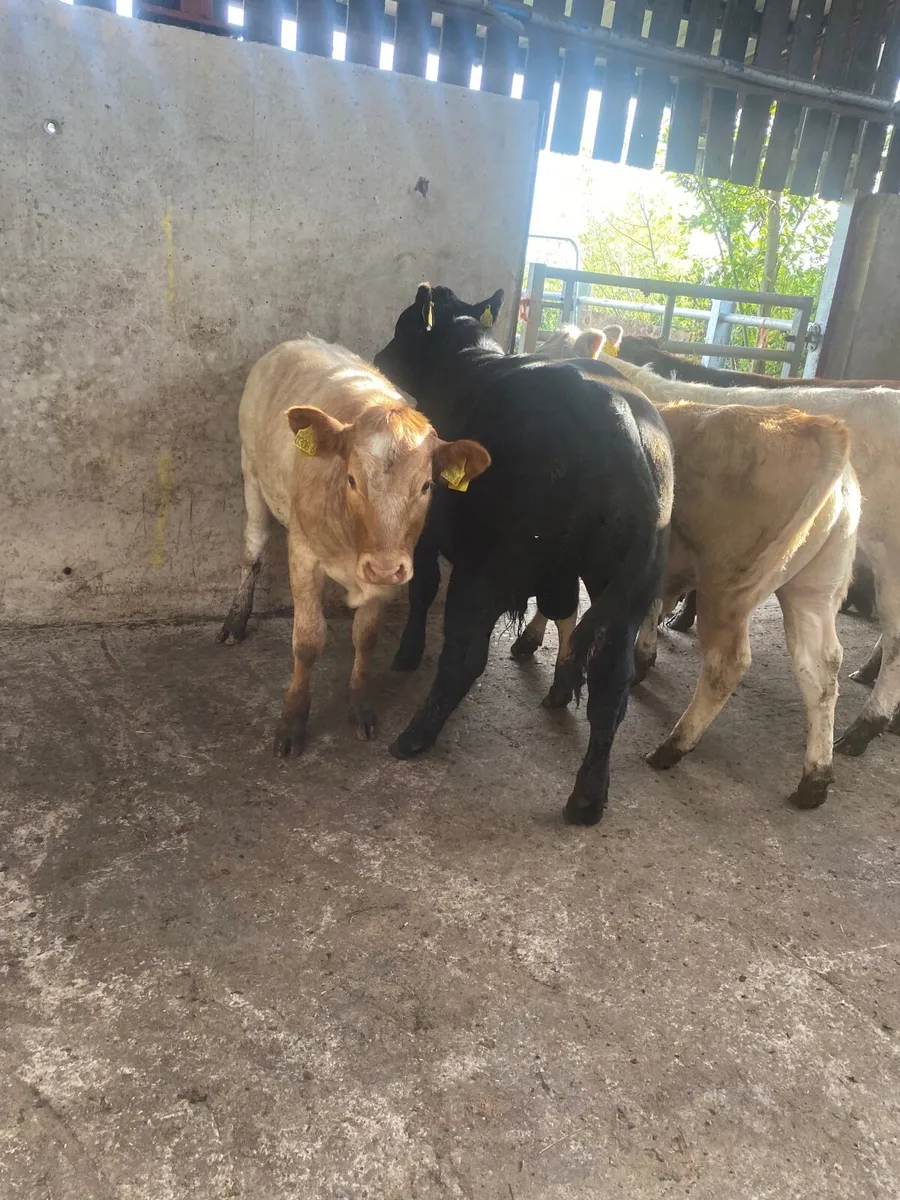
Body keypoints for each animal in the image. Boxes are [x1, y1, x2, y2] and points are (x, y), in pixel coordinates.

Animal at [218, 336, 489, 756]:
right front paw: (293, 719)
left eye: (426, 485)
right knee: (253, 549)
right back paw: (236, 619)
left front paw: (360, 707)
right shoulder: (304, 554)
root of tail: (298, 341)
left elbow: (366, 637)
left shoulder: (388, 571)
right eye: (351, 479)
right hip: (250, 470)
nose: (382, 567)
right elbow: (308, 641)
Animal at [373, 285, 674, 826]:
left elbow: (423, 588)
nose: (380, 357)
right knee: (611, 681)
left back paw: (415, 735)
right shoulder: (559, 575)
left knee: (465, 655)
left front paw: (407, 653)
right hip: (625, 588)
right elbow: (561, 613)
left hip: (488, 568)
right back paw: (588, 795)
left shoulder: (427, 531)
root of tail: (626, 423)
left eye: (405, 323)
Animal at [588, 346, 900, 757]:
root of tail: (820, 428)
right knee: (823, 667)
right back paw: (820, 767)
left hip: (732, 589)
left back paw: (673, 747)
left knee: (729, 663)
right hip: (814, 589)